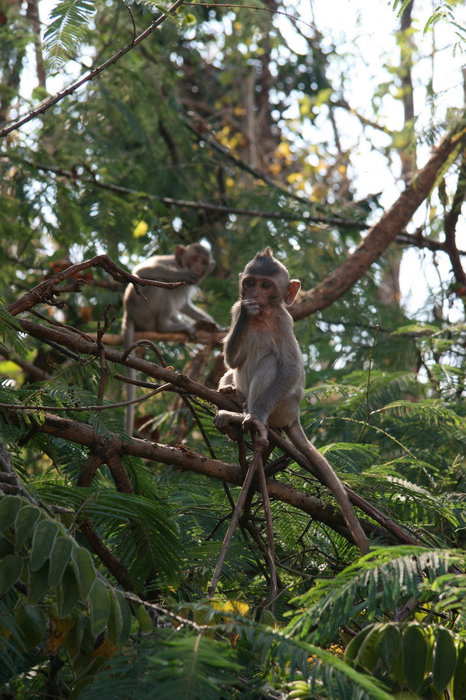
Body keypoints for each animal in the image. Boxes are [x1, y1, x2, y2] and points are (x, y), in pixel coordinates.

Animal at [122, 243, 220, 434]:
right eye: (194, 259)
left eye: (203, 262)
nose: (197, 268)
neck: (179, 264)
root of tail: (128, 313)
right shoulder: (167, 263)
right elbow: (142, 271)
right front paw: (184, 275)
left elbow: (186, 306)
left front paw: (217, 327)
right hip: (144, 309)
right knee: (157, 285)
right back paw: (167, 326)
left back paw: (199, 325)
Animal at [213, 249, 370, 556]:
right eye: (250, 283)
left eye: (266, 285)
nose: (255, 295)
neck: (263, 316)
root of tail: (294, 415)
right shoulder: (236, 309)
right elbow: (232, 359)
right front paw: (247, 314)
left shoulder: (284, 321)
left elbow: (291, 368)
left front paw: (256, 418)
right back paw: (230, 398)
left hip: (283, 404)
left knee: (270, 362)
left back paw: (246, 416)